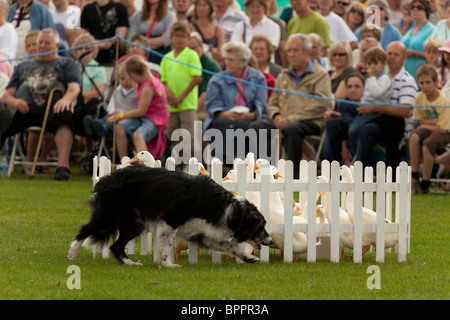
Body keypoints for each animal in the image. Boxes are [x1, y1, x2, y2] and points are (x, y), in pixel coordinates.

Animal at [68, 164, 272, 266]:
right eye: (261, 227)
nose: (270, 241)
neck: (228, 208)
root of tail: (106, 178)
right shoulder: (171, 220)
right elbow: (167, 245)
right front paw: (168, 264)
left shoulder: (204, 232)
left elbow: (229, 246)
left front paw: (248, 258)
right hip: (109, 215)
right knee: (85, 229)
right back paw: (72, 253)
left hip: (134, 225)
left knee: (115, 246)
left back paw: (129, 263)